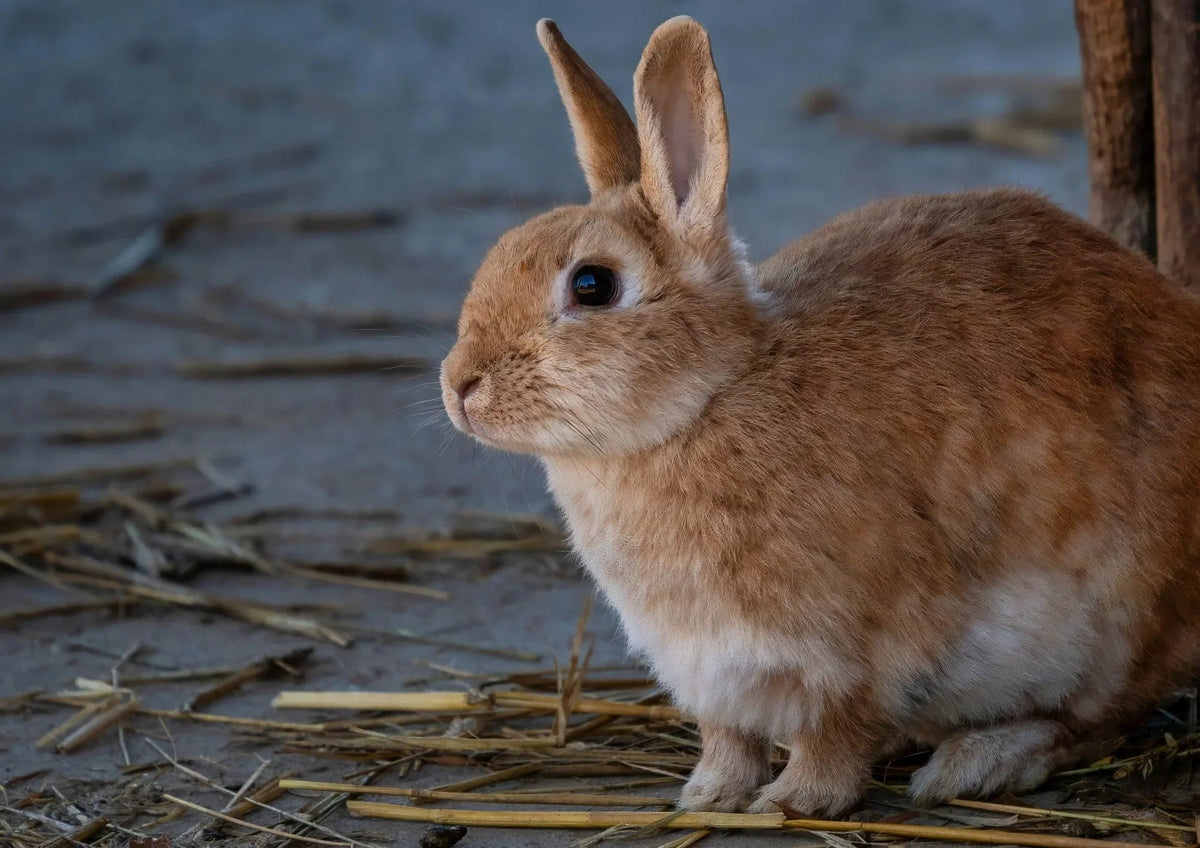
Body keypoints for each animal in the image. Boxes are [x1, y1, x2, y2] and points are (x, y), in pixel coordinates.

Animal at [439, 16, 1200, 816]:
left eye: (592, 285)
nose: (459, 386)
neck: (707, 398)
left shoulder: (850, 653)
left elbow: (833, 734)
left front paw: (791, 802)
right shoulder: (709, 671)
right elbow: (728, 738)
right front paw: (707, 796)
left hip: (1118, 620)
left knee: (1099, 718)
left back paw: (975, 763)